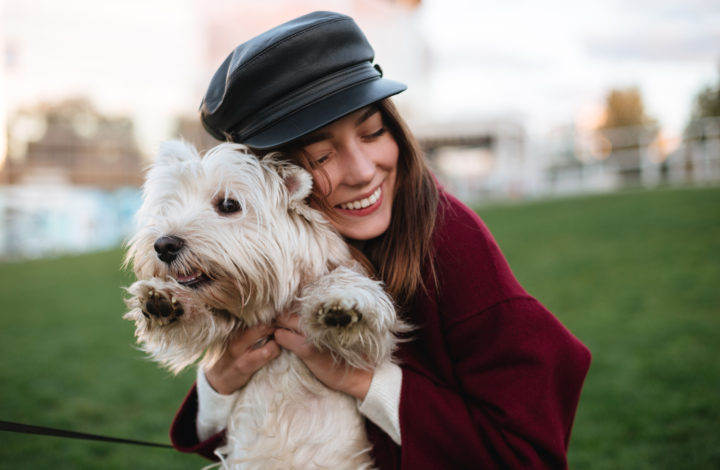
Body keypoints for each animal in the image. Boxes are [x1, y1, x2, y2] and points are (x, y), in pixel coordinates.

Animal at [124, 141, 404, 468]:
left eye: (228, 205)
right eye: (170, 204)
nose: (164, 245)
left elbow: (347, 291)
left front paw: (342, 306)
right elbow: (200, 322)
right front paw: (164, 302)